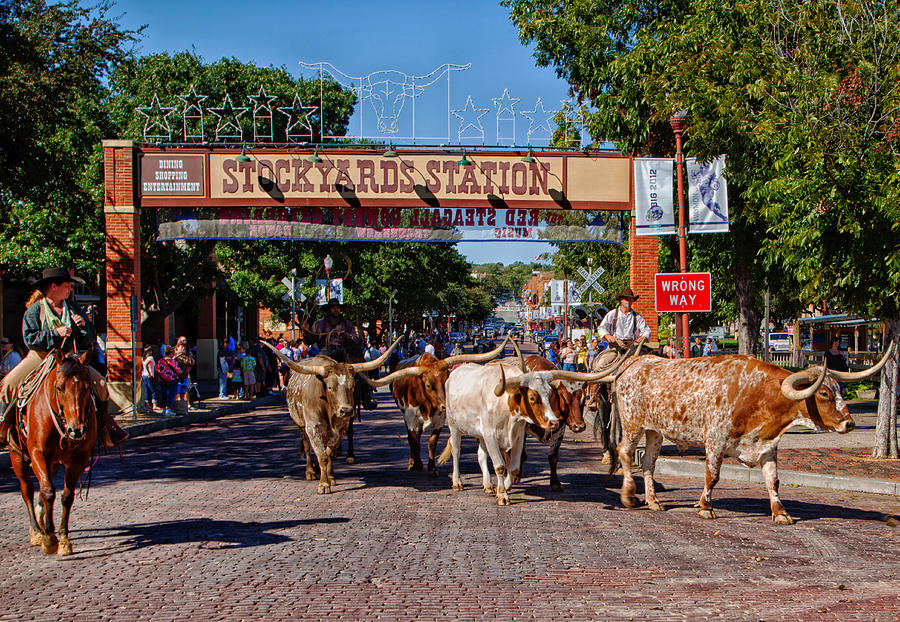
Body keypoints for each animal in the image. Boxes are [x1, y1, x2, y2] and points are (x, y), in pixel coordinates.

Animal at [9, 348, 99, 560]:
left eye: (87, 387)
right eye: (59, 387)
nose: (77, 430)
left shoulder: (79, 458)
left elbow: (66, 496)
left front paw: (64, 539)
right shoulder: (37, 454)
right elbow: (48, 491)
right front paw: (49, 539)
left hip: (53, 463)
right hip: (18, 456)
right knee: (27, 490)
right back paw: (36, 531)